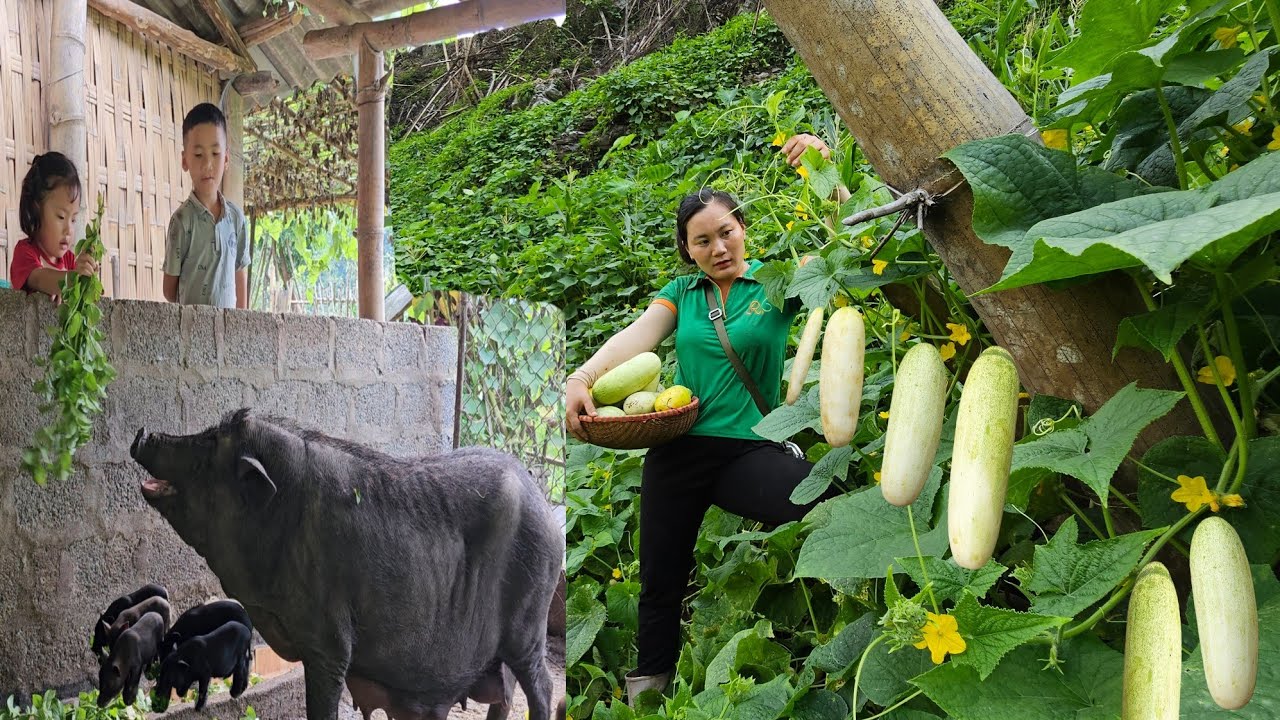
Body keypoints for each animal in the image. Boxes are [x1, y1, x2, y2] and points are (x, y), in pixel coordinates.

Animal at [128, 409, 560, 717]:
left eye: (209, 448)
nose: (142, 431)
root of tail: (544, 505)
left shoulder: (329, 642)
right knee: (505, 694)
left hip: (528, 624)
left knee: (542, 686)